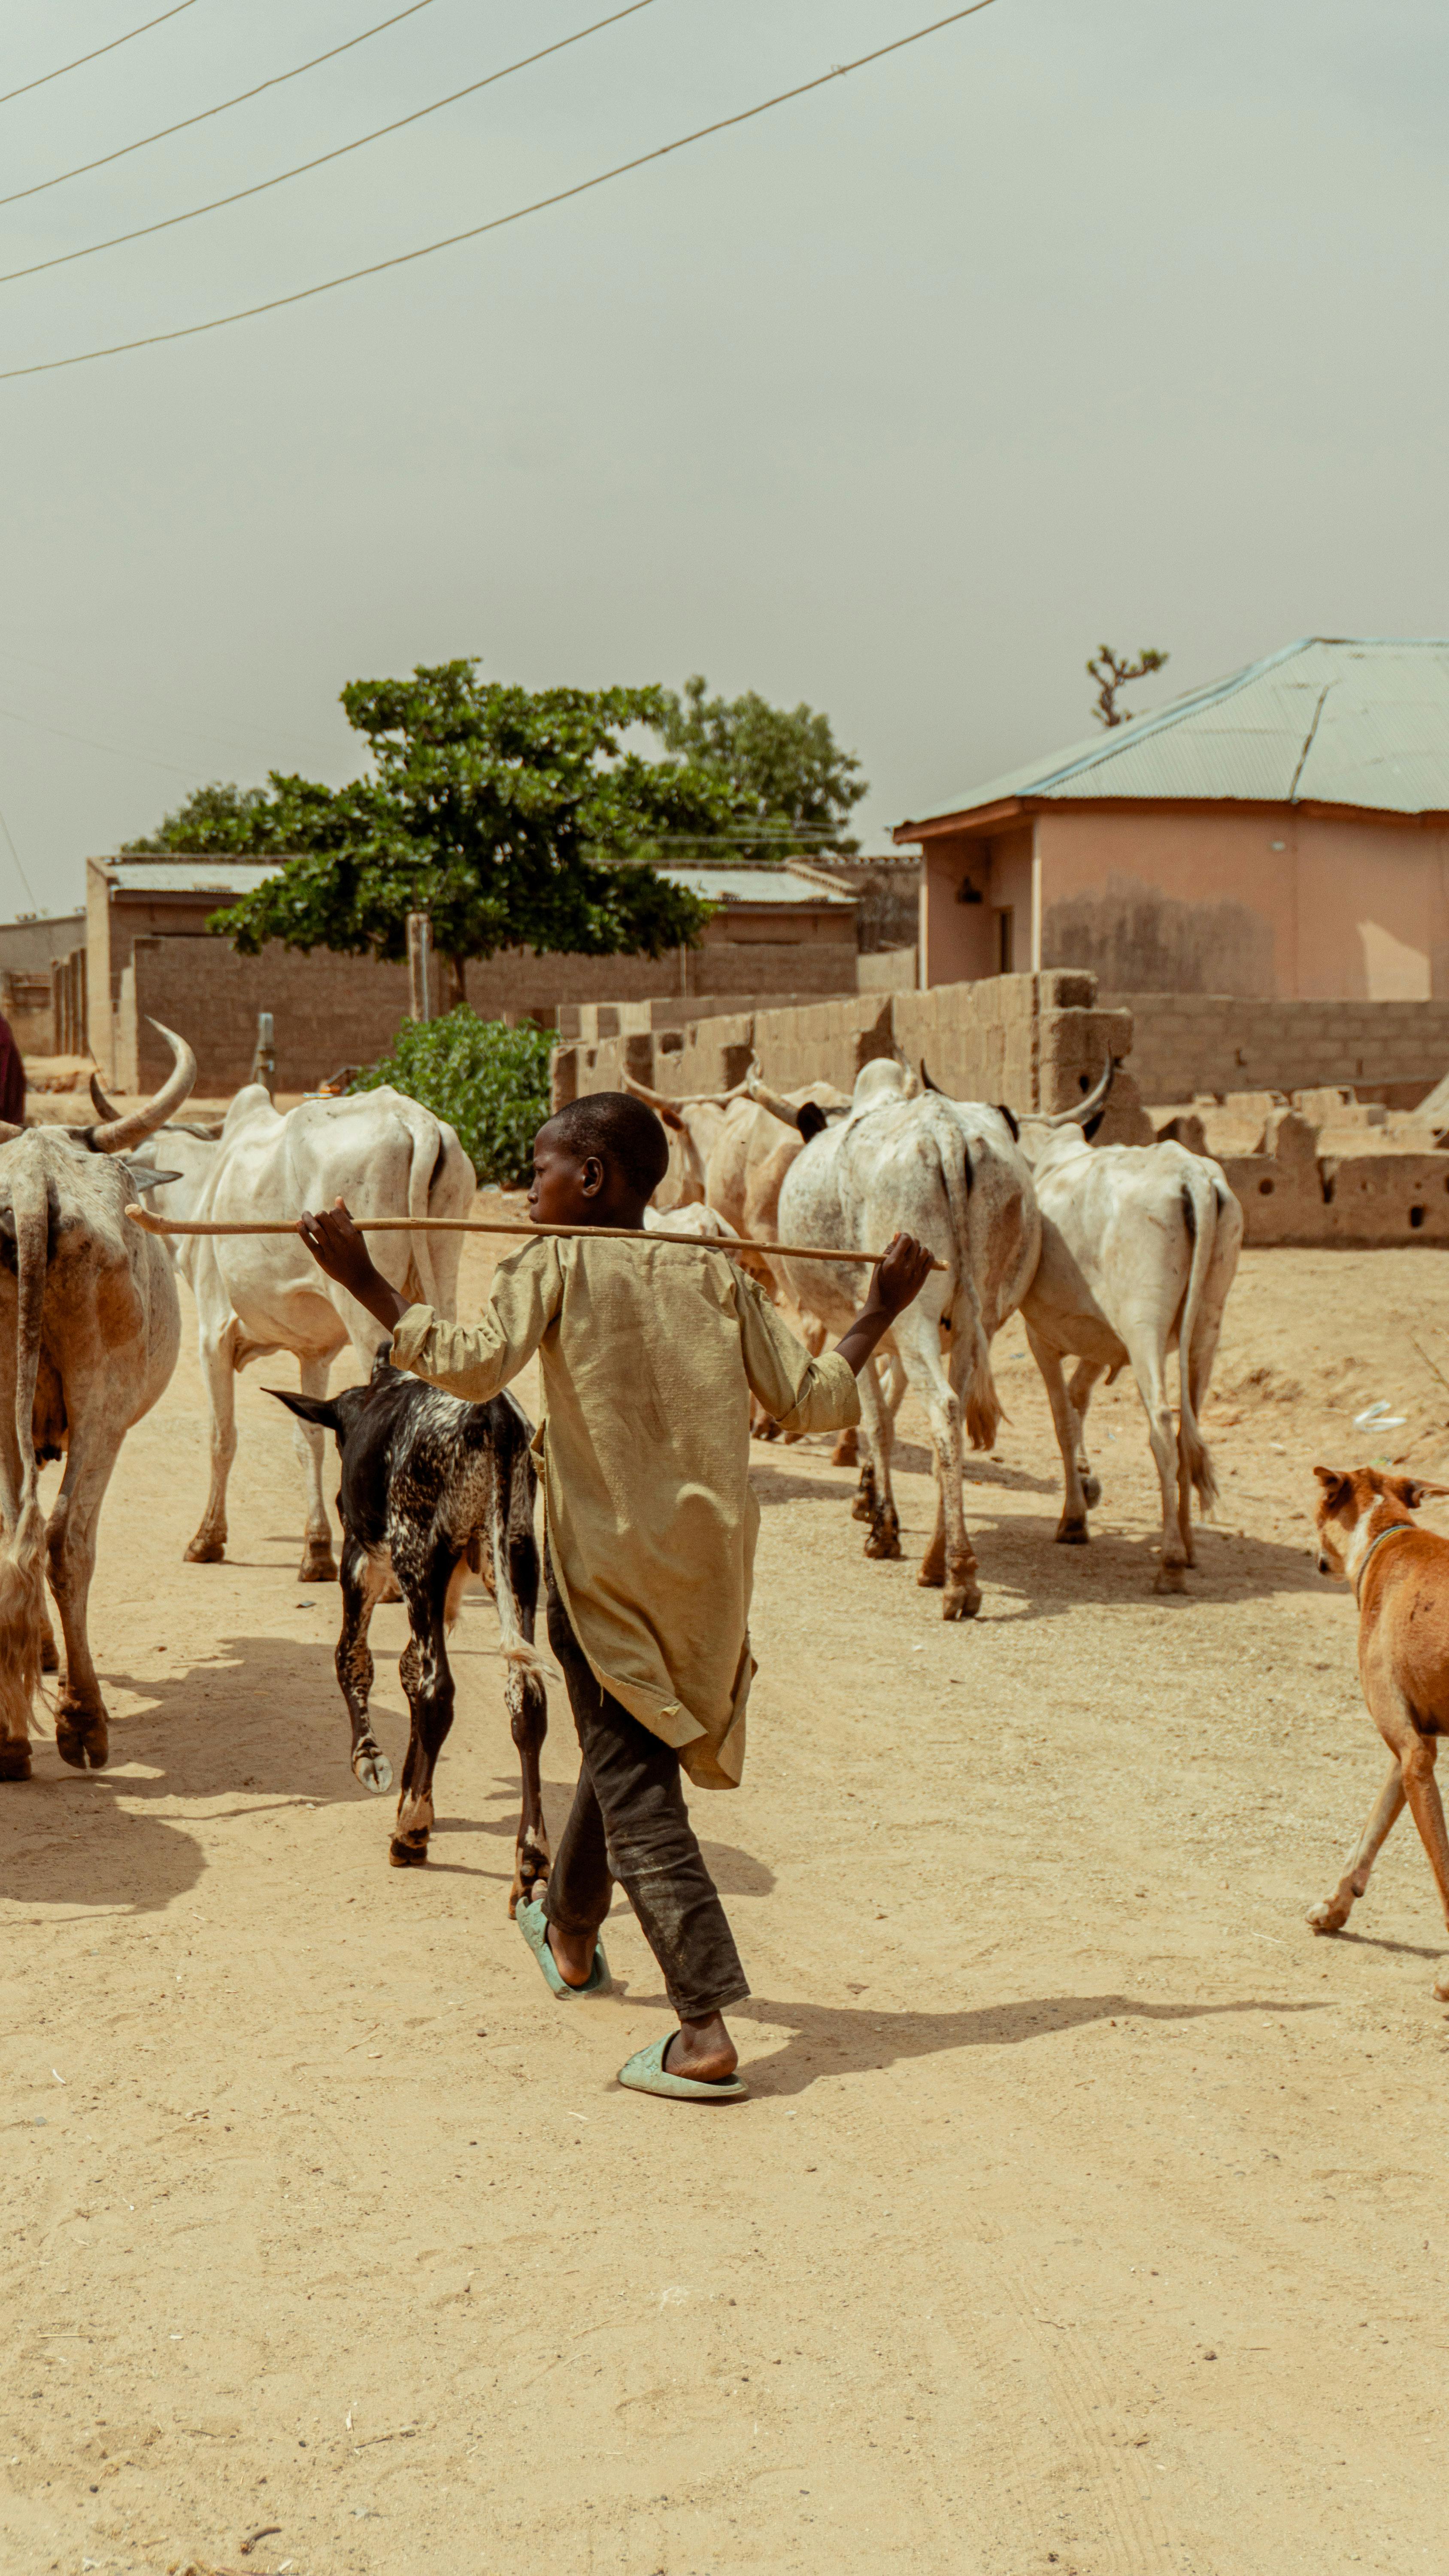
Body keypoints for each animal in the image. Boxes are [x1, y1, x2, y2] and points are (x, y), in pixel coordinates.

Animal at [0, 1027, 197, 1778]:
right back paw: (83, 1723)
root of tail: (34, 1185)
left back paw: (13, 1736)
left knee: (21, 1537)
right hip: (103, 1412)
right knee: (64, 1542)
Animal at [102, 1079, 475, 1581]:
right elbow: (310, 1439)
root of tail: (413, 1118)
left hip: (366, 1321)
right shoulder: (313, 1353)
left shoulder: (213, 1336)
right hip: (445, 1277)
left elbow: (222, 1437)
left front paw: (208, 1539)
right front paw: (316, 1550)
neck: (209, 1181)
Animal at [268, 1357, 551, 1908]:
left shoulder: (362, 1562)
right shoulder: (452, 1589)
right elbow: (406, 1669)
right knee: (525, 1698)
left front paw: (372, 1761)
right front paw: (408, 1788)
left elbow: (353, 1658)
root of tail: (493, 1419)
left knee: (438, 1692)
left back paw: (411, 1832)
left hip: (418, 1556)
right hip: (516, 1556)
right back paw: (530, 1862)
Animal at [766, 1061, 1041, 1617]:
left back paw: (959, 1574)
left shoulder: (867, 1325)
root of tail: (946, 1131)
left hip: (918, 1317)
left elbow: (875, 1420)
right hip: (973, 1320)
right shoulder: (903, 1340)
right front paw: (869, 1501)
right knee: (951, 1419)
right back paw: (938, 1560)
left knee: (943, 1407)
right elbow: (890, 1413)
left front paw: (881, 1522)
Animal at [1015, 1102, 1243, 1590]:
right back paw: (1187, 1545)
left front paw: (1073, 1518)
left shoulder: (1040, 1336)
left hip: (1144, 1328)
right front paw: (1085, 1483)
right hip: (1206, 1327)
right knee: (1187, 1432)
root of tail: (1190, 1172)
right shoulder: (1102, 1345)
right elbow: (1078, 1401)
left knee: (1161, 1424)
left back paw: (1171, 1562)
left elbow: (1063, 1419)